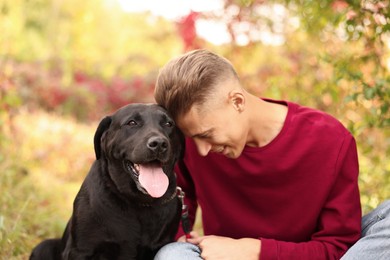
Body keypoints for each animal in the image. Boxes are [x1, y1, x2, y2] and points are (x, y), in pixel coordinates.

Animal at [30, 103, 183, 260]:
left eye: (168, 124)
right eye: (132, 123)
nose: (159, 143)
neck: (137, 202)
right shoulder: (80, 250)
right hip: (43, 247)